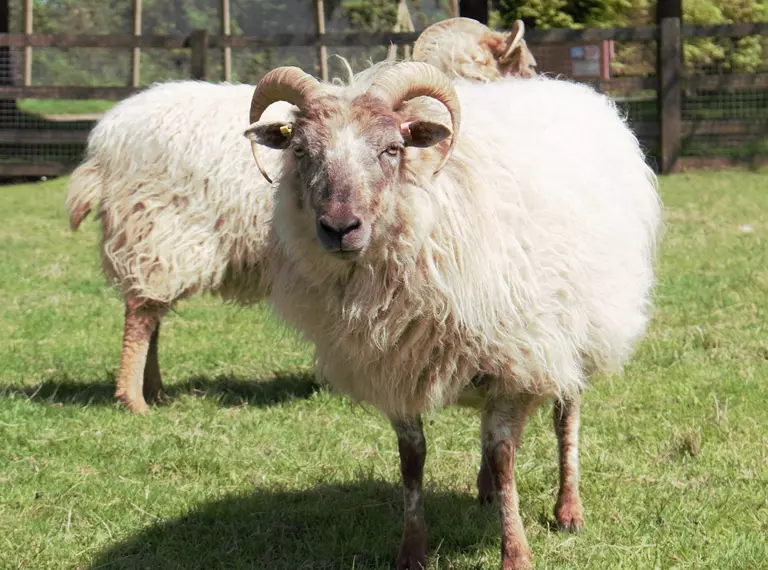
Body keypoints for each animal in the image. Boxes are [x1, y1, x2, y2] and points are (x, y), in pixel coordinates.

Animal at [244, 60, 660, 564]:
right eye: (301, 150)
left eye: (393, 148)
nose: (340, 228)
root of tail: (574, 91)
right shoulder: (394, 368)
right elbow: (413, 459)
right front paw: (412, 551)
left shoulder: (517, 357)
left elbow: (505, 456)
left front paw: (515, 553)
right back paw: (487, 492)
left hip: (575, 334)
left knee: (565, 418)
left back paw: (568, 509)